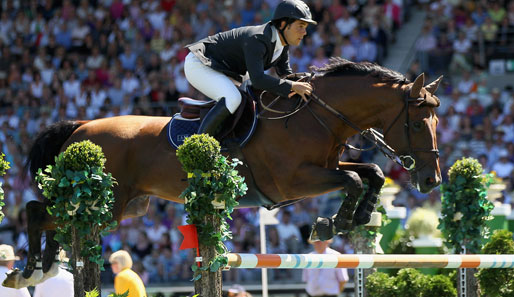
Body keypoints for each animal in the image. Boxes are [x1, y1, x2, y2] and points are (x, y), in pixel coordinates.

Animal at [3, 56, 440, 286]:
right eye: (419, 123)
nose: (430, 180)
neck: (315, 115)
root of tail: (80, 130)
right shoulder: (292, 181)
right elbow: (352, 179)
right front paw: (329, 224)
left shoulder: (324, 167)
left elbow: (370, 173)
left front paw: (359, 216)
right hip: (107, 205)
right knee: (41, 212)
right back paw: (27, 269)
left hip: (128, 207)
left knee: (57, 220)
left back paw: (43, 267)